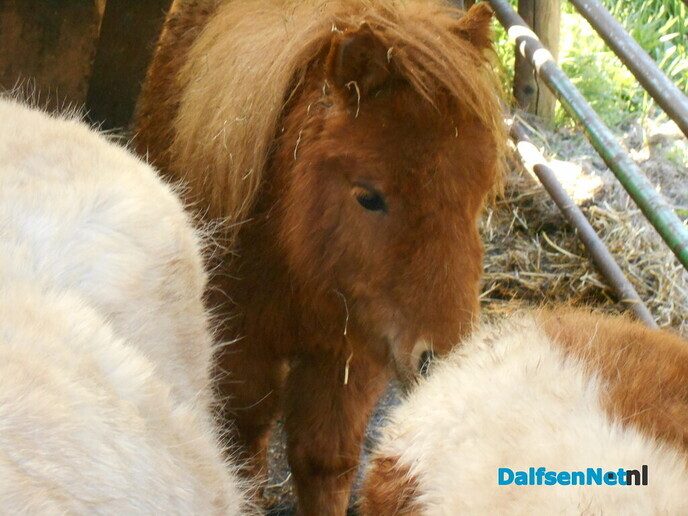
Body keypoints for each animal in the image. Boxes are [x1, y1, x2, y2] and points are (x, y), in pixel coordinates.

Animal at [134, 1, 506, 512]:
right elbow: (244, 446)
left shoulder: (351, 353)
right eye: (368, 196)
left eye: (478, 195)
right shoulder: (238, 344)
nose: (444, 359)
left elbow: (325, 459)